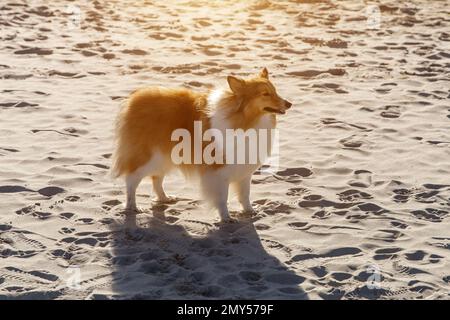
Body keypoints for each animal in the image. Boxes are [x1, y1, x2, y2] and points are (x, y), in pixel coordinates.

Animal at [112, 67, 292, 222]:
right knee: (131, 180)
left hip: (164, 156)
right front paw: (226, 218)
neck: (245, 120)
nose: (289, 104)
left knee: (156, 178)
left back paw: (164, 198)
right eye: (265, 94)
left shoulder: (244, 169)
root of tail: (135, 98)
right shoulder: (219, 171)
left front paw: (250, 211)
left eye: (275, 91)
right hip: (148, 156)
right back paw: (133, 207)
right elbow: (222, 197)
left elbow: (245, 195)